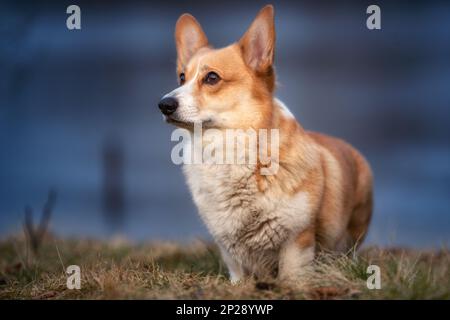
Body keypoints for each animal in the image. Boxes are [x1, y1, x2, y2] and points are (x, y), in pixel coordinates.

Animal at [158, 5, 372, 284]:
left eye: (212, 77)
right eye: (181, 77)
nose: (163, 104)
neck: (228, 154)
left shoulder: (297, 241)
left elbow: (291, 276)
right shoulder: (229, 251)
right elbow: (238, 275)